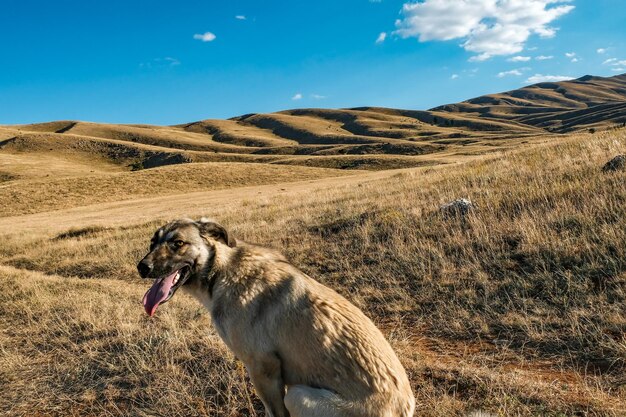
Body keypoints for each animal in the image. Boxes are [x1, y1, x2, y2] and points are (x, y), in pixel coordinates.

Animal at [136, 218, 414, 416]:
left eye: (177, 243)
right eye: (152, 243)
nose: (141, 267)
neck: (220, 272)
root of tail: (404, 410)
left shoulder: (263, 370)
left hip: (298, 395)